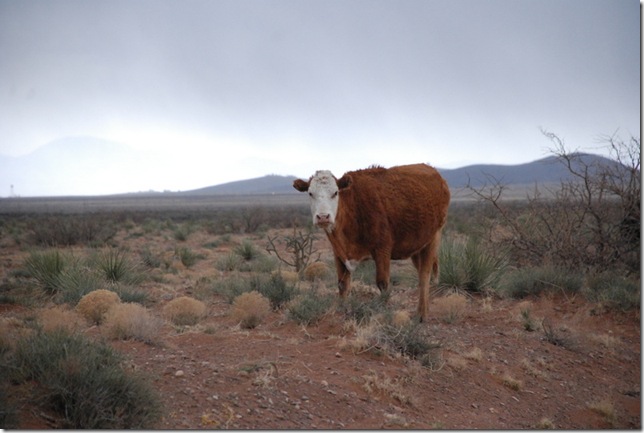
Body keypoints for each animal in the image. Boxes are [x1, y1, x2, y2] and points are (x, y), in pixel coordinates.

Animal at [294, 162, 450, 320]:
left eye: (335, 193)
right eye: (310, 193)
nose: (323, 217)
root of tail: (432, 170)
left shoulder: (382, 250)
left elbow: (383, 284)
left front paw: (385, 313)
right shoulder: (338, 253)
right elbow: (342, 284)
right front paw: (340, 312)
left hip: (433, 238)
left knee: (425, 274)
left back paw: (422, 314)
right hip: (416, 246)